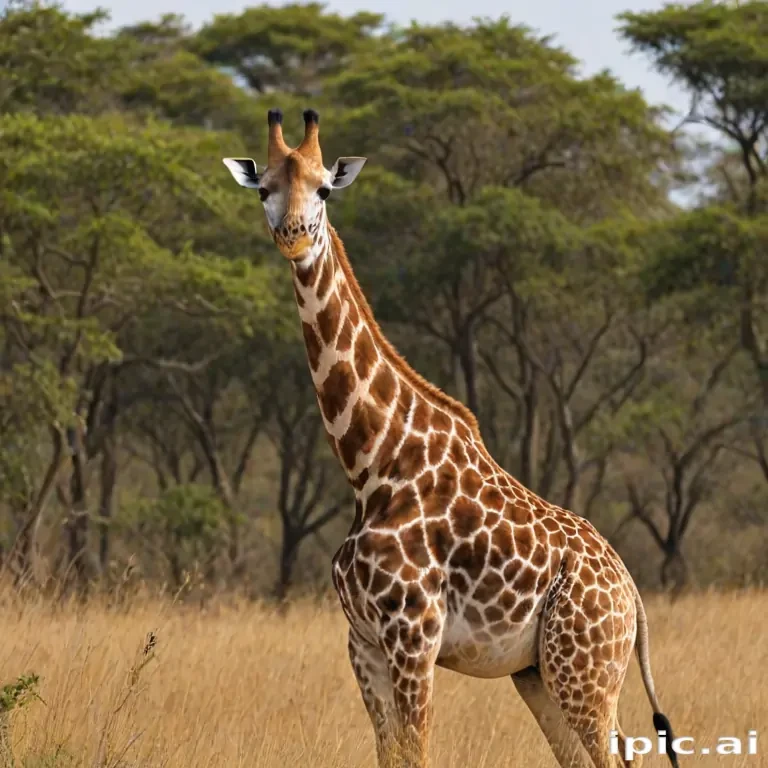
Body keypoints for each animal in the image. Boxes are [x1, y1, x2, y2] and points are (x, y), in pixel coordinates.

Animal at [223, 109, 679, 768]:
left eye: (325, 189)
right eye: (264, 189)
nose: (293, 235)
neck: (371, 462)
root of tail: (632, 595)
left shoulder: (413, 635)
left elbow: (418, 751)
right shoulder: (361, 640)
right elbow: (391, 754)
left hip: (586, 668)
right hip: (539, 673)